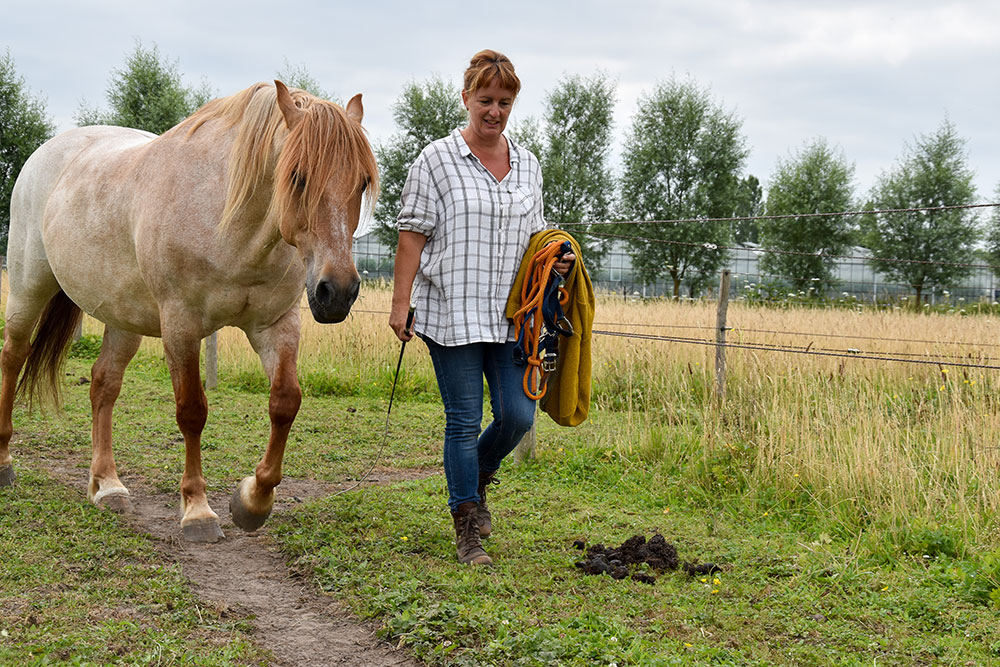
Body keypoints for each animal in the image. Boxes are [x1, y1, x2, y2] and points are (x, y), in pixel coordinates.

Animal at [0, 81, 376, 544]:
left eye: (362, 182)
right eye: (298, 176)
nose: (337, 292)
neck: (229, 223)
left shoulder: (276, 323)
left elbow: (285, 402)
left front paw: (253, 501)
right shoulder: (181, 325)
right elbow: (192, 412)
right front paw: (197, 510)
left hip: (123, 316)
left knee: (103, 384)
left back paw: (107, 485)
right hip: (28, 287)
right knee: (13, 357)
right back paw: (5, 464)